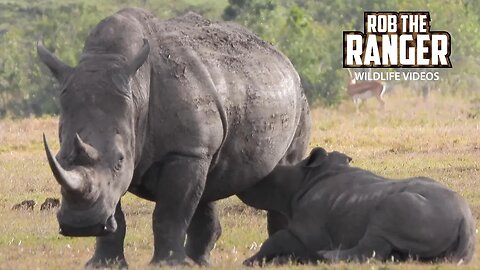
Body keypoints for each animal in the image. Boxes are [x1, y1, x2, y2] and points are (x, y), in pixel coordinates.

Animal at [39, 7, 312, 268]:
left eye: (119, 160)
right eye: (59, 159)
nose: (80, 225)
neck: (136, 93)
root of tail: (282, 57)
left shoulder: (185, 151)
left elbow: (170, 213)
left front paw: (166, 264)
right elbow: (115, 210)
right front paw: (104, 264)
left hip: (299, 102)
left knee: (283, 170)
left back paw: (277, 260)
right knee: (207, 185)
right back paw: (197, 262)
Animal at [242, 148, 474, 266]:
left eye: (268, 183)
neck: (301, 181)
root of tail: (464, 220)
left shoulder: (310, 230)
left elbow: (276, 239)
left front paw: (250, 262)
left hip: (418, 209)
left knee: (381, 223)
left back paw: (325, 256)